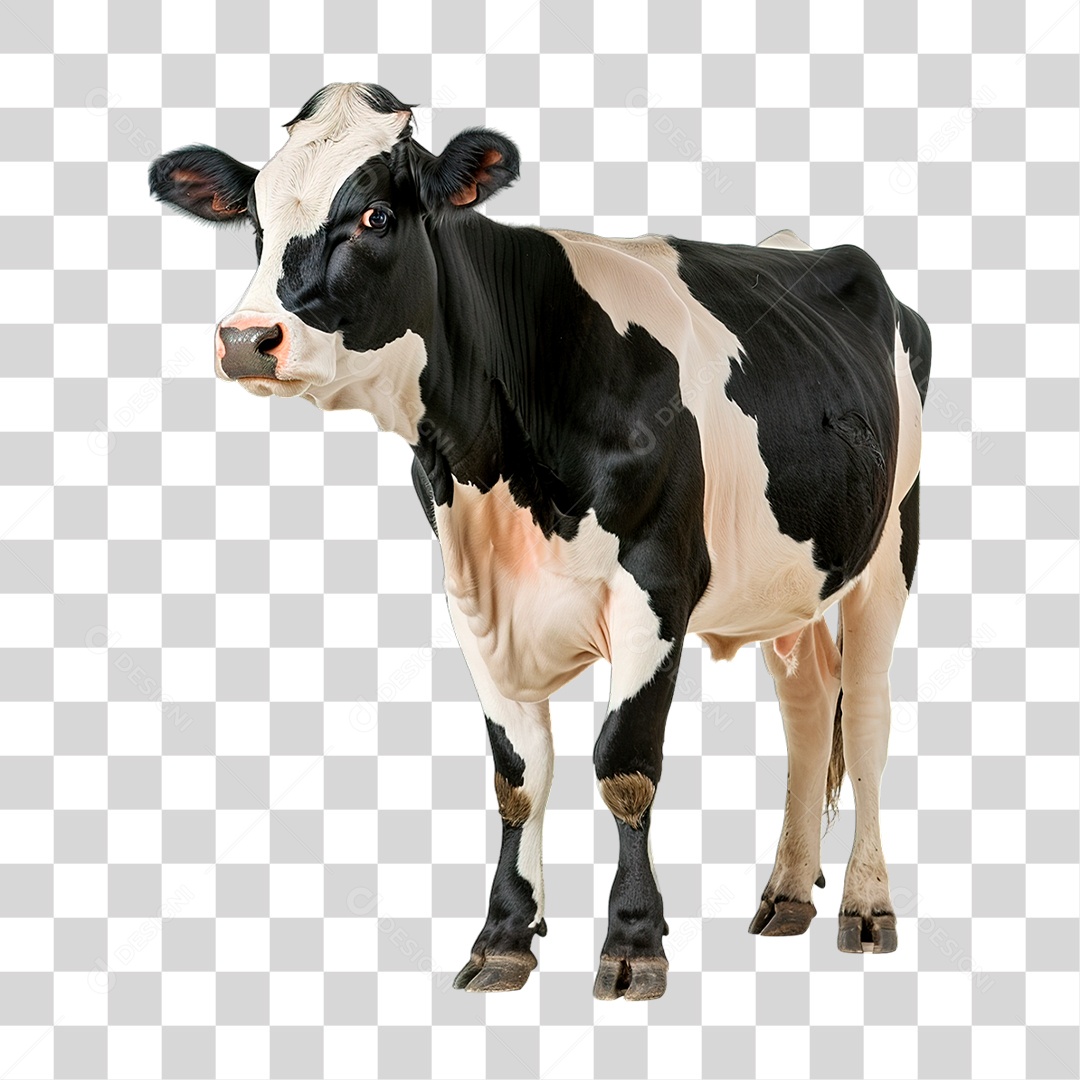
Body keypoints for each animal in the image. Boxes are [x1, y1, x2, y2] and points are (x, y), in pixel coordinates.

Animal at [149, 83, 930, 1001]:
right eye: (257, 218)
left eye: (375, 215)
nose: (246, 338)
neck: (494, 463)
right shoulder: (474, 597)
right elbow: (518, 776)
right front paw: (504, 936)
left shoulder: (656, 589)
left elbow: (623, 766)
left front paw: (633, 942)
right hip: (787, 575)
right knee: (809, 705)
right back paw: (785, 894)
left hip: (890, 546)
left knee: (868, 714)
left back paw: (866, 906)